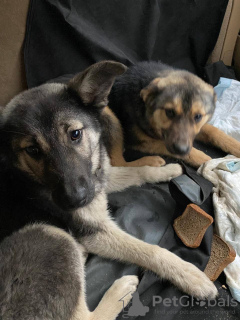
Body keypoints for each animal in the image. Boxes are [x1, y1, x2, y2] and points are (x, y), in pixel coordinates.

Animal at [0, 60, 218, 320]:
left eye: (75, 134)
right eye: (32, 150)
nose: (76, 200)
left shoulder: (96, 178)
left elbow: (136, 172)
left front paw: (168, 169)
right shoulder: (95, 232)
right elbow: (149, 250)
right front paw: (190, 275)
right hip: (52, 236)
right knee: (85, 316)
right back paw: (119, 291)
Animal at [108, 61, 240, 169]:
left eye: (198, 116)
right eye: (169, 112)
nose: (181, 149)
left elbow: (214, 131)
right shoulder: (140, 140)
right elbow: (164, 144)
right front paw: (203, 159)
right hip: (111, 116)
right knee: (117, 164)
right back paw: (151, 161)